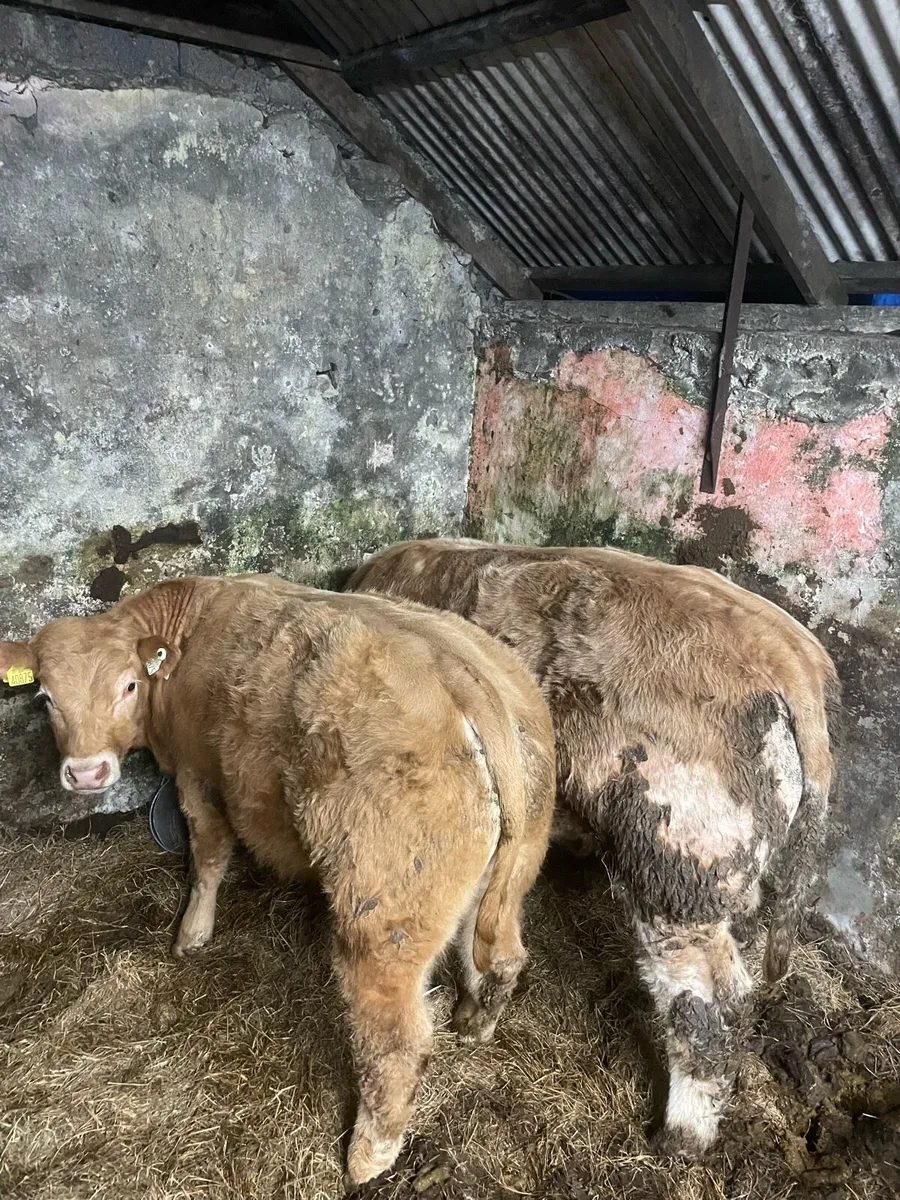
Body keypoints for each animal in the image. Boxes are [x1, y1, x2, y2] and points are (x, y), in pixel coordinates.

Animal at [0, 574, 555, 1186]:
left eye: (128, 684)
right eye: (46, 697)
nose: (86, 772)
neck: (193, 628)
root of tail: (466, 679)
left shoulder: (197, 773)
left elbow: (209, 851)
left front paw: (191, 933)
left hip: (383, 921)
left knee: (396, 1041)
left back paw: (366, 1158)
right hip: (510, 874)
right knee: (499, 956)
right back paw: (474, 1023)